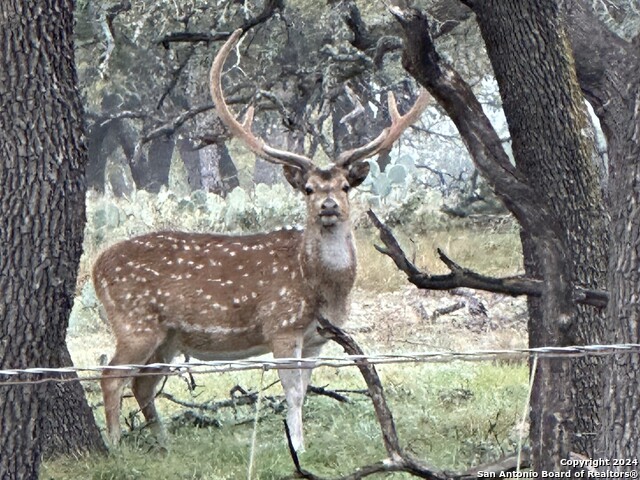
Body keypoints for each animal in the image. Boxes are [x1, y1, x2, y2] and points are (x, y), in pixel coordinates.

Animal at [96, 28, 430, 452]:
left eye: (344, 186)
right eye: (308, 188)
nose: (328, 206)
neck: (319, 286)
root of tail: (95, 267)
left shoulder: (319, 338)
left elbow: (304, 390)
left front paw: (302, 442)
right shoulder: (281, 326)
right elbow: (293, 392)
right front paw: (297, 446)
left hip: (166, 338)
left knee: (142, 384)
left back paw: (163, 443)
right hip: (134, 321)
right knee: (111, 376)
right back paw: (114, 445)